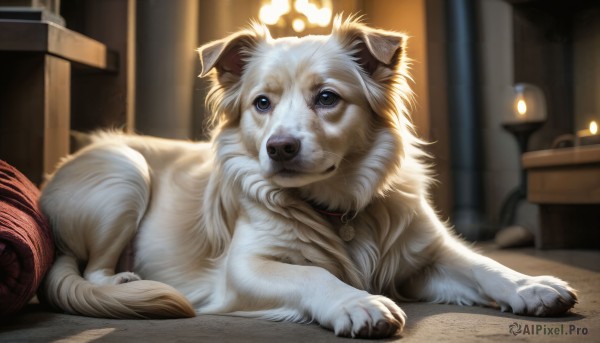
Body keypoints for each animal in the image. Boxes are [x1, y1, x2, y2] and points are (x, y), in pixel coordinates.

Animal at [41, 16, 576, 338]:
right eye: (261, 103)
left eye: (327, 98)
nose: (279, 147)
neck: (337, 207)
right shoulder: (245, 267)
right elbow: (314, 273)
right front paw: (358, 303)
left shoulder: (428, 254)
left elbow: (485, 265)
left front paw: (531, 287)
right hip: (123, 171)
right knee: (94, 271)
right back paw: (127, 280)